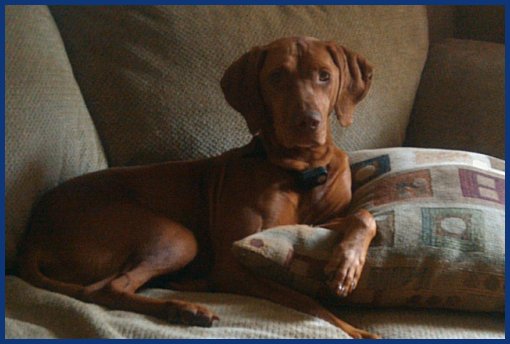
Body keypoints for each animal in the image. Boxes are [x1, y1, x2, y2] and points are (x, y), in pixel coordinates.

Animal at [16, 37, 378, 338]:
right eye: (276, 77)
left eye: (324, 76)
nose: (307, 122)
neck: (301, 170)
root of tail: (33, 236)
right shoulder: (235, 264)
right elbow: (308, 302)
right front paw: (354, 329)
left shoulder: (318, 223)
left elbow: (364, 216)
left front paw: (346, 264)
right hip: (175, 236)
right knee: (104, 289)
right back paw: (183, 309)